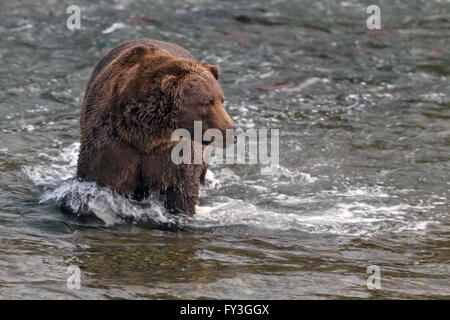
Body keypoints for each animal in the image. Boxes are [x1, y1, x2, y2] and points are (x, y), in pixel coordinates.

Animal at [62, 38, 243, 222]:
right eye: (207, 101)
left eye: (221, 99)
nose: (234, 130)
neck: (147, 135)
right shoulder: (112, 143)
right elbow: (99, 182)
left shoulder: (174, 152)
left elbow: (181, 191)